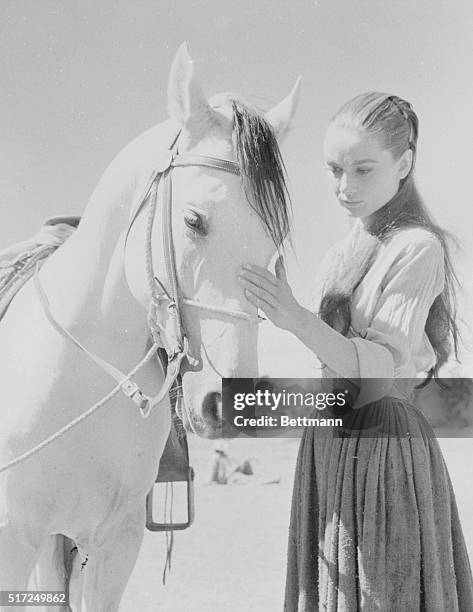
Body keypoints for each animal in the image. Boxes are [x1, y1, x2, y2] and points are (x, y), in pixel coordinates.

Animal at [0, 44, 298, 612]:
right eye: (193, 220)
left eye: (277, 237)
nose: (231, 401)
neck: (80, 378)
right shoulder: (12, 542)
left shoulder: (115, 545)